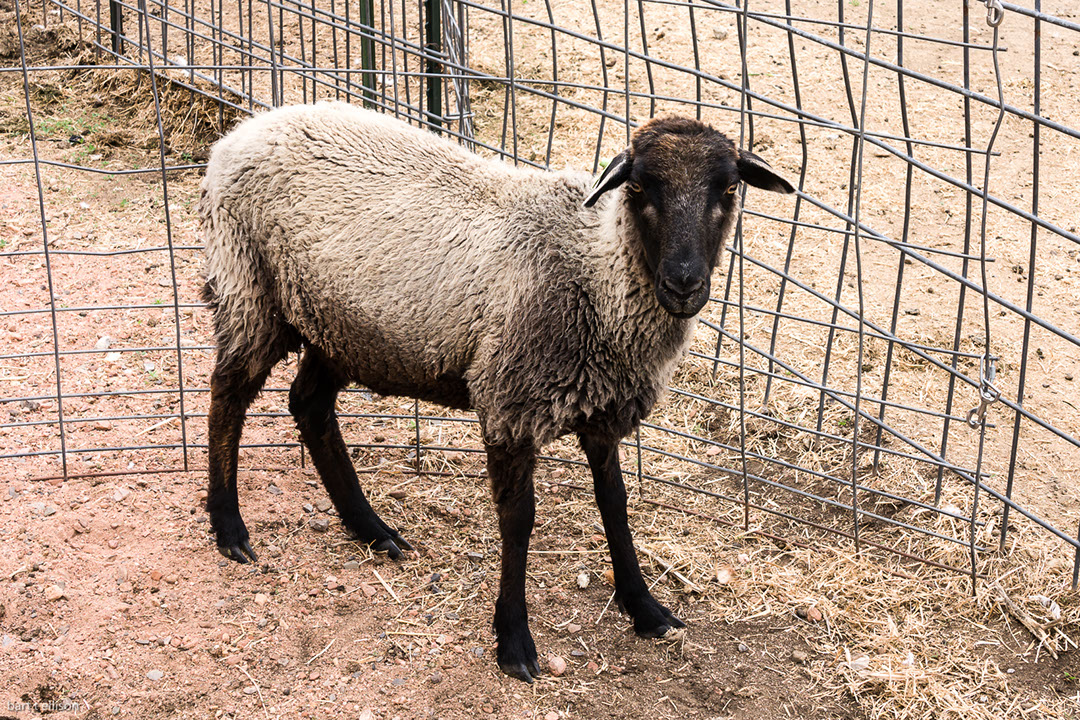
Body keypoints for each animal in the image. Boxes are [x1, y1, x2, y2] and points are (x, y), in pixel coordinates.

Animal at [200, 101, 794, 682]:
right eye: (640, 188)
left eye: (729, 189)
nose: (684, 283)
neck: (595, 271)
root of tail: (241, 132)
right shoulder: (511, 404)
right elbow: (519, 519)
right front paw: (513, 640)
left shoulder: (602, 410)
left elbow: (615, 503)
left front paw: (644, 608)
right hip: (251, 288)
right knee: (227, 395)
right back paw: (229, 527)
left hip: (341, 324)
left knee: (310, 405)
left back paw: (371, 529)